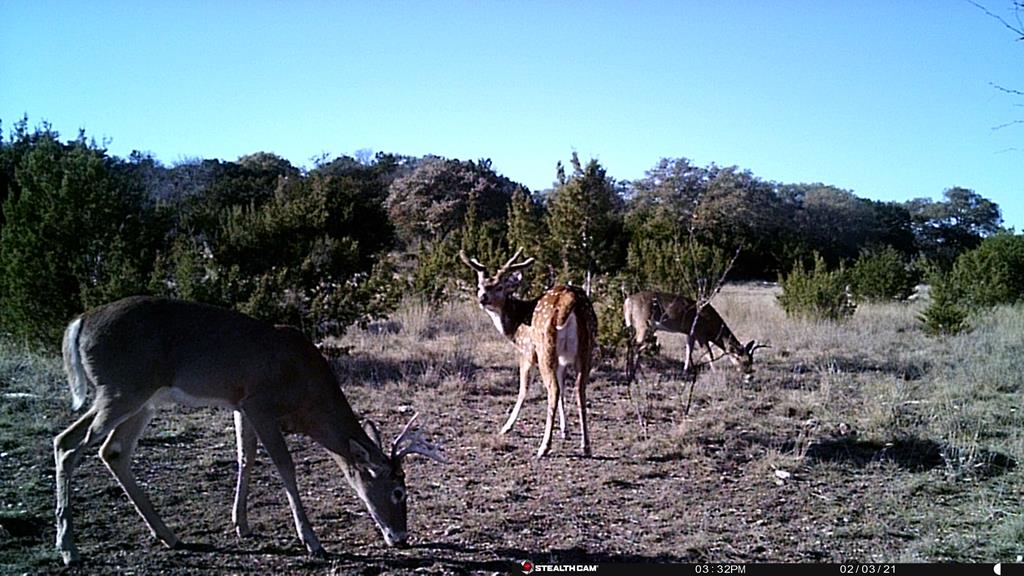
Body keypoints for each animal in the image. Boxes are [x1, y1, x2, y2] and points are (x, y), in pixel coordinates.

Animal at [51, 295, 444, 565]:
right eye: (398, 491)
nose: (402, 537)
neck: (307, 393)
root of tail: (79, 322)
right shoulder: (259, 402)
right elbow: (285, 466)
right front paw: (312, 541)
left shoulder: (241, 404)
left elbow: (245, 457)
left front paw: (241, 524)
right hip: (121, 389)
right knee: (67, 443)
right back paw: (68, 549)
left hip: (141, 399)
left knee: (112, 451)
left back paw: (168, 536)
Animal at [458, 249, 598, 455]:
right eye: (480, 286)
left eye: (499, 287)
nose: (483, 298)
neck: (514, 328)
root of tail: (569, 300)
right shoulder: (562, 360)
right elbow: (564, 388)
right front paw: (565, 431)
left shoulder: (526, 352)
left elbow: (523, 389)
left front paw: (506, 427)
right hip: (586, 347)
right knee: (580, 389)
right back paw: (586, 445)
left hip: (545, 347)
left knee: (553, 390)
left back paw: (544, 446)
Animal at [618, 289, 765, 379]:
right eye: (742, 360)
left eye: (751, 360)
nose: (750, 375)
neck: (712, 326)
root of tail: (628, 301)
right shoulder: (701, 334)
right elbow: (708, 353)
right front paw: (715, 372)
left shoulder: (690, 333)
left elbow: (688, 350)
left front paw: (685, 371)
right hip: (643, 324)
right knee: (636, 346)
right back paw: (633, 373)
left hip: (635, 325)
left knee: (631, 343)